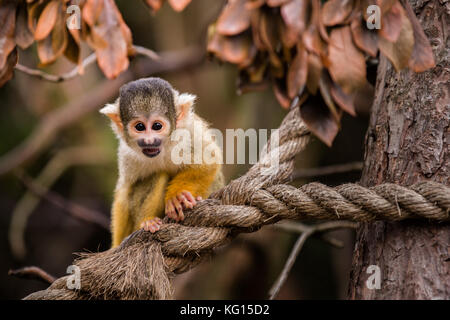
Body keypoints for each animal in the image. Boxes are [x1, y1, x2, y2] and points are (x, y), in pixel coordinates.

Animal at [100, 77, 223, 248]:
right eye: (140, 127)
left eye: (157, 126)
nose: (149, 141)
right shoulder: (126, 153)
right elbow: (124, 192)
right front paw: (116, 245)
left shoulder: (191, 131)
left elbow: (209, 160)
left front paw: (177, 197)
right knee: (157, 176)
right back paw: (148, 222)